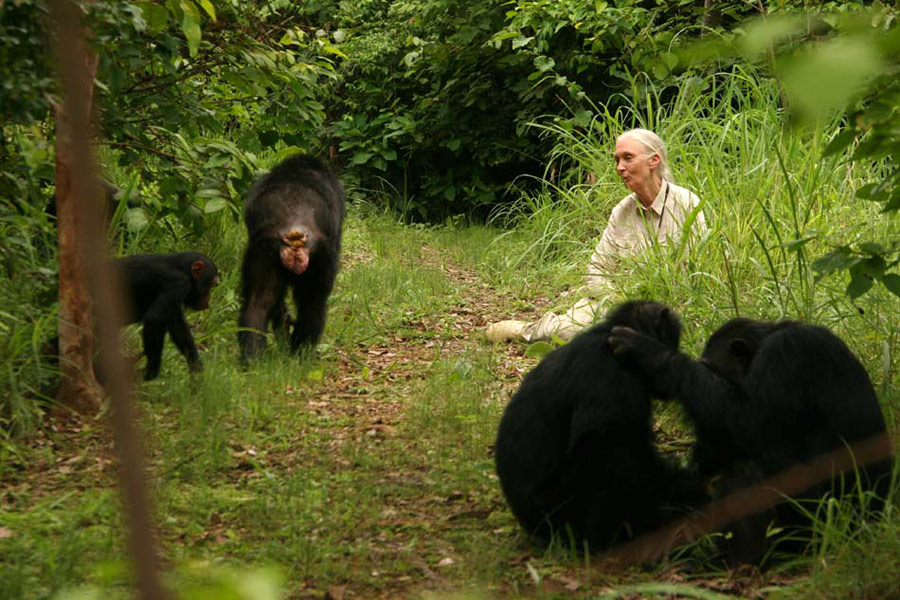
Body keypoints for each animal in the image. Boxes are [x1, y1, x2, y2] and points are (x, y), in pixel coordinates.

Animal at [114, 252, 220, 380]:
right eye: (212, 284)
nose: (209, 299)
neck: (181, 269)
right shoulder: (179, 284)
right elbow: (155, 319)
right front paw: (151, 371)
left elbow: (178, 329)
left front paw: (196, 368)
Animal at [239, 155, 344, 360]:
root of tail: (294, 227)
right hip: (319, 256)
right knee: (313, 301)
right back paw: (300, 353)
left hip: (263, 251)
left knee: (258, 301)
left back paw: (252, 358)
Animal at [608, 318, 896, 564]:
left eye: (710, 367)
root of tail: (873, 520)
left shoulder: (783, 354)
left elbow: (748, 421)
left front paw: (652, 355)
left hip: (820, 522)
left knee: (747, 470)